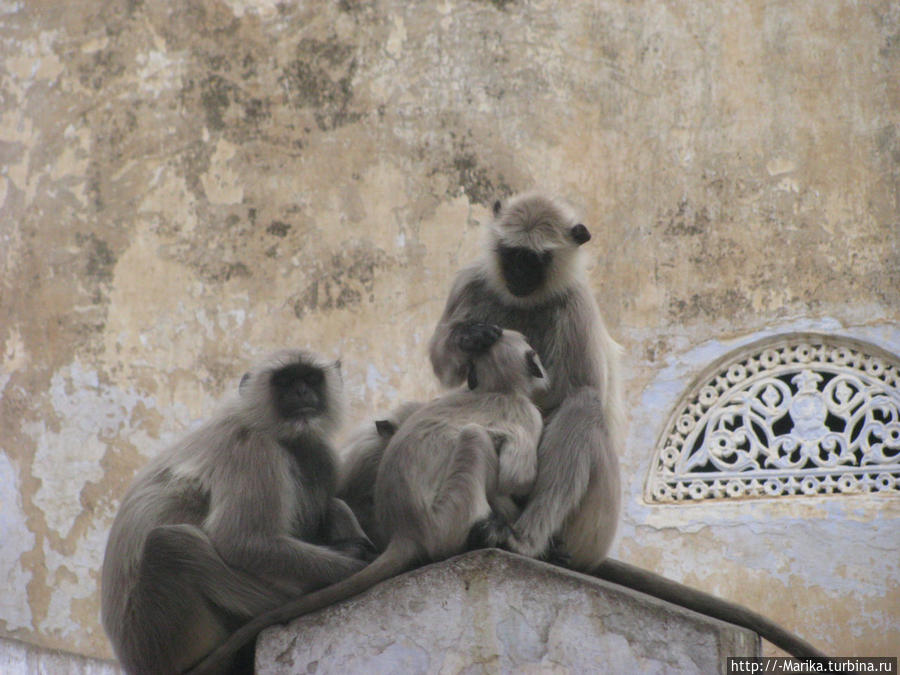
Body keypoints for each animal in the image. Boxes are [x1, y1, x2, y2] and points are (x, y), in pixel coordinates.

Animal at [102, 352, 372, 672]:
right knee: (171, 544)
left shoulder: (317, 452)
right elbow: (240, 541)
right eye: (284, 381)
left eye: (310, 378)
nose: (301, 392)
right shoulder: (253, 448)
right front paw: (357, 563)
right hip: (164, 635)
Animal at [186, 332, 544, 675]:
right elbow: (518, 476)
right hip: (449, 516)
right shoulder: (527, 414)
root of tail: (406, 531)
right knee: (475, 437)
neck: (501, 389)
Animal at [430, 193, 624, 572]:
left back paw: (524, 540)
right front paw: (468, 338)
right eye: (511, 254)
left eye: (533, 260)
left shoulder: (575, 304)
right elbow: (442, 363)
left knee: (584, 403)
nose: (519, 273)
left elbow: (575, 391)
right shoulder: (471, 281)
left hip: (595, 523)